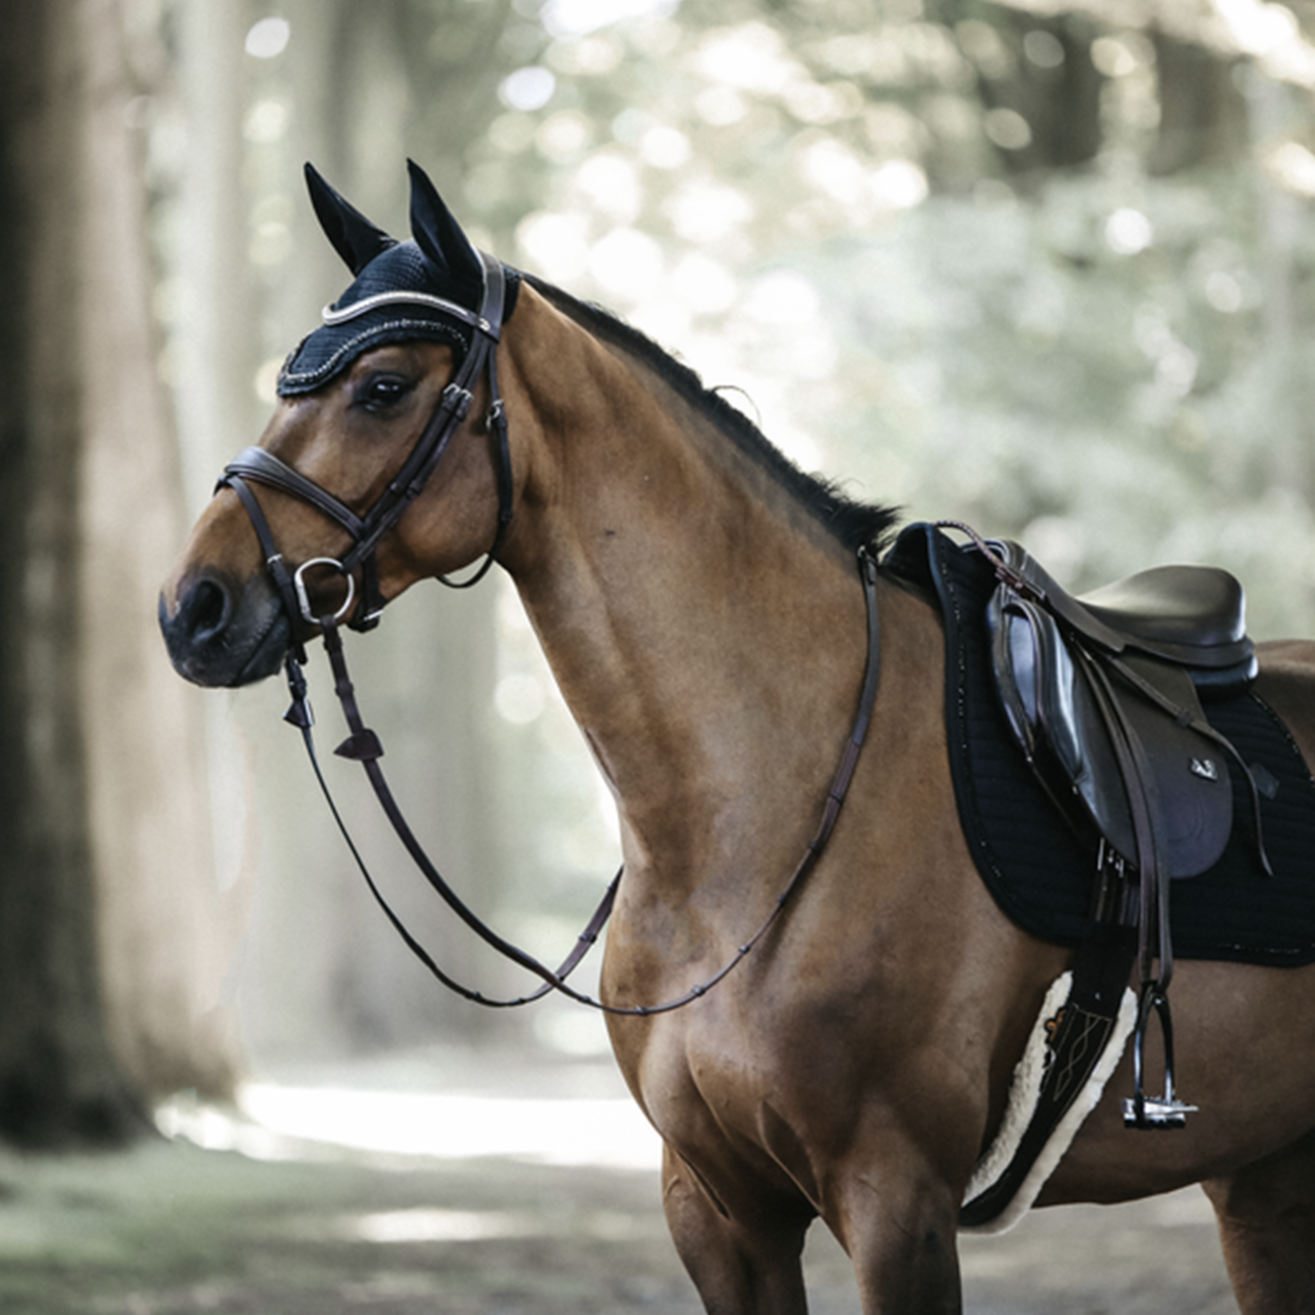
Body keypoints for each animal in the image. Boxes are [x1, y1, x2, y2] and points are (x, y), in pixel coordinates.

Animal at [161, 167, 1315, 1315]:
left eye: (384, 386)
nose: (192, 610)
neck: (760, 817)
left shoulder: (895, 1201)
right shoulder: (718, 1210)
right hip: (1261, 1177)